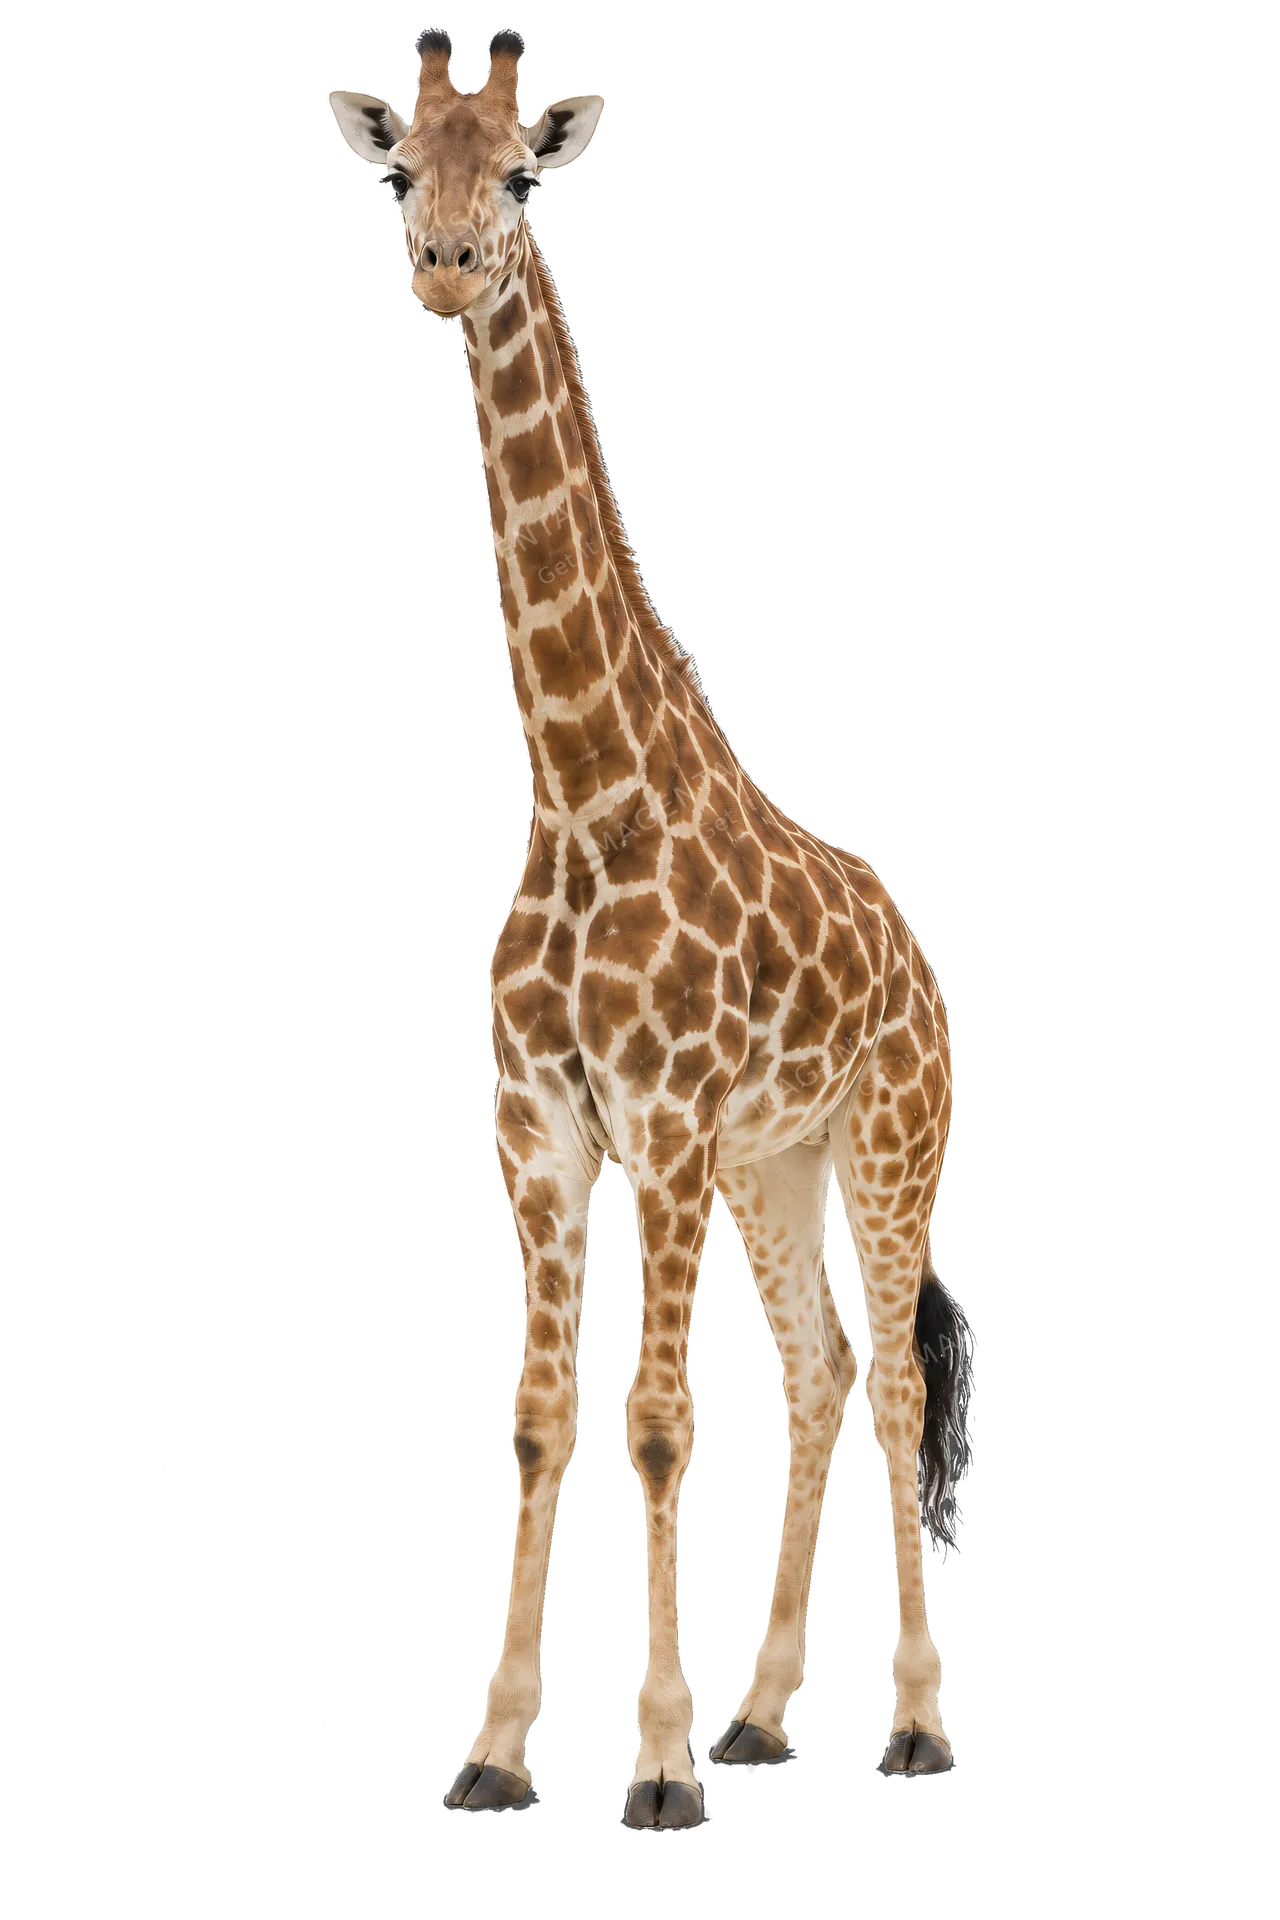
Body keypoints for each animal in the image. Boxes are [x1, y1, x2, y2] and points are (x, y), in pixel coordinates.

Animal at [330, 29, 975, 1829]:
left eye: (520, 174)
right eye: (402, 170)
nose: (444, 265)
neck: (577, 794)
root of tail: (922, 961)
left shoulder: (668, 1121)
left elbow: (660, 1419)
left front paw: (658, 1767)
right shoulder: (543, 1134)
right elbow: (543, 1417)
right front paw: (500, 1753)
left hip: (887, 1143)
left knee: (898, 1381)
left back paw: (912, 1725)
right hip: (779, 1163)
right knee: (823, 1375)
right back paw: (769, 1722)